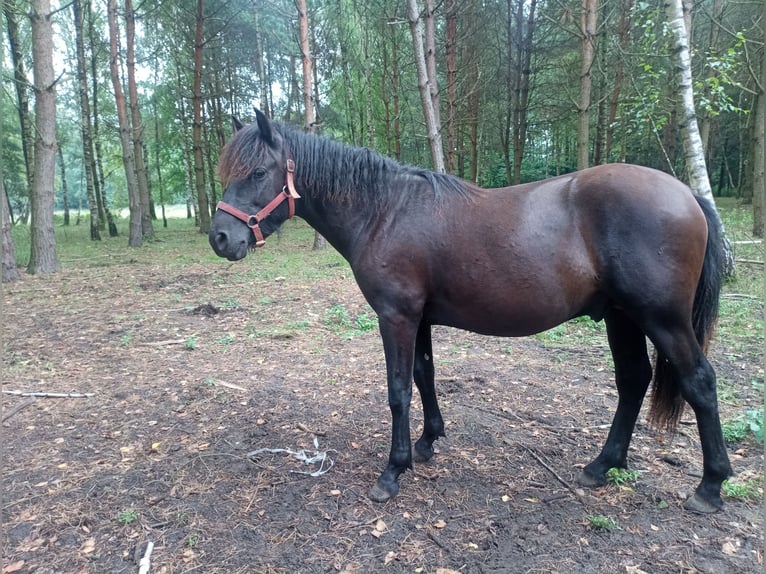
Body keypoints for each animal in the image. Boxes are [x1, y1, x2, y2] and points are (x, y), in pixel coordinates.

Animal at [208, 110, 732, 516]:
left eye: (258, 173)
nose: (220, 239)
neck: (384, 212)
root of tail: (688, 195)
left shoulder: (396, 316)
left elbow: (398, 390)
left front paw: (392, 471)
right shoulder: (418, 317)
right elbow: (424, 376)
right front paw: (427, 443)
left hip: (662, 319)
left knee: (699, 383)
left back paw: (709, 487)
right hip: (623, 317)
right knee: (633, 380)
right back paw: (602, 466)